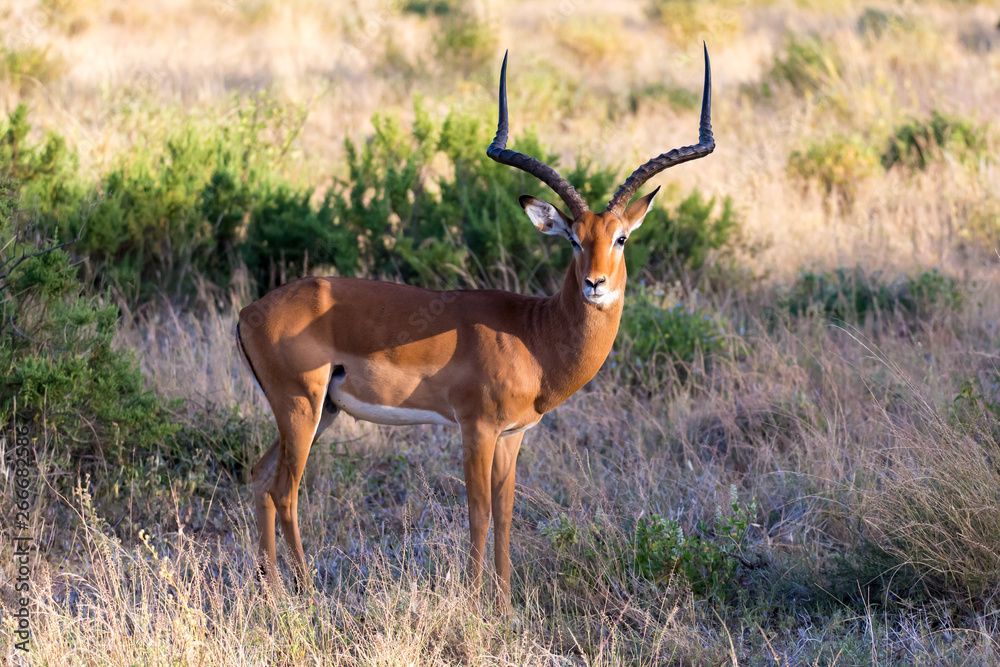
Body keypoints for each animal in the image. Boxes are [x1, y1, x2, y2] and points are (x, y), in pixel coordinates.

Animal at [236, 45, 715, 607]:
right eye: (573, 238)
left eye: (620, 238)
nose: (595, 284)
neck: (534, 335)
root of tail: (249, 312)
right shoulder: (476, 428)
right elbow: (478, 514)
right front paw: (475, 601)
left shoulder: (513, 435)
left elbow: (506, 516)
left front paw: (505, 605)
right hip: (301, 408)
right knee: (285, 492)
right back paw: (307, 594)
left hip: (320, 412)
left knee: (260, 479)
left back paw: (270, 589)